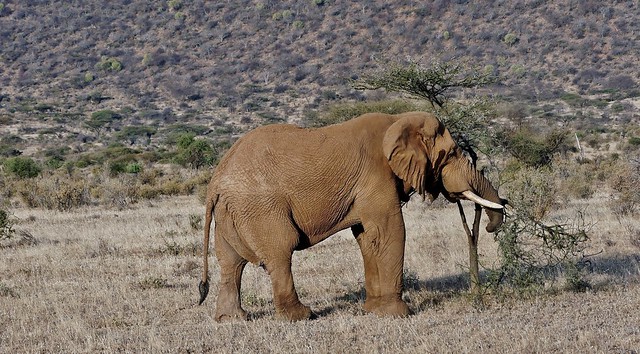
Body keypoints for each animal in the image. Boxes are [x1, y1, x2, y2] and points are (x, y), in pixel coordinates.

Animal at [198, 112, 502, 322]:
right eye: (449, 154)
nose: (489, 227)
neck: (397, 120)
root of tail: (215, 182)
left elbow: (368, 238)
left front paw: (374, 310)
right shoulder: (375, 177)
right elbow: (391, 231)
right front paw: (398, 314)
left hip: (230, 213)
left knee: (231, 264)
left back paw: (232, 319)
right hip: (261, 208)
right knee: (280, 253)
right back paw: (302, 316)